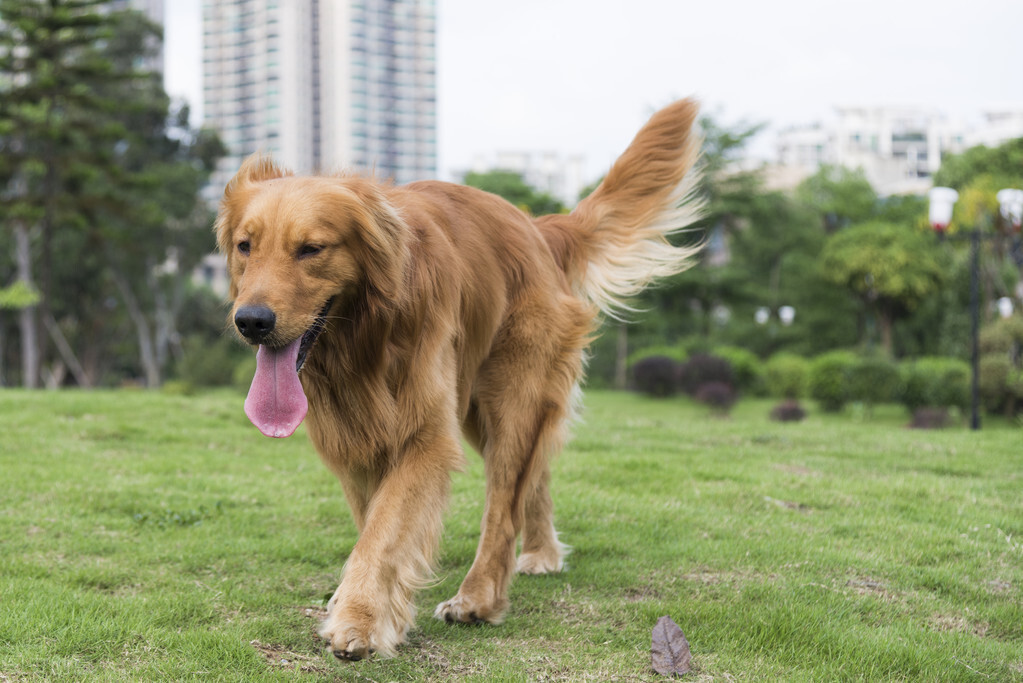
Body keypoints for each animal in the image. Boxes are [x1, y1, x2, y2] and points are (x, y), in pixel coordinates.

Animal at [215, 98, 703, 658]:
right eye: (245, 246)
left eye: (311, 249)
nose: (251, 321)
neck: (362, 342)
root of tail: (537, 226)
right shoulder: (353, 436)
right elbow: (371, 522)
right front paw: (372, 605)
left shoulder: (425, 435)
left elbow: (385, 528)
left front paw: (359, 618)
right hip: (476, 407)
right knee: (534, 475)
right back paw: (542, 552)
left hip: (512, 392)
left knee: (504, 506)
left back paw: (479, 597)